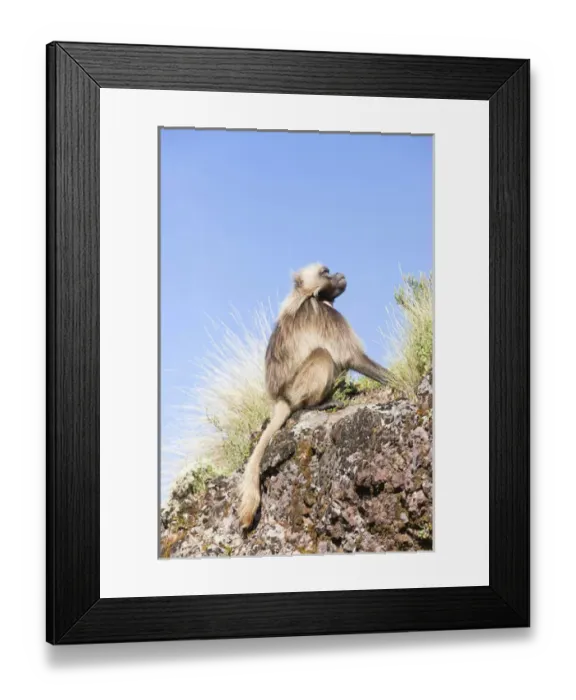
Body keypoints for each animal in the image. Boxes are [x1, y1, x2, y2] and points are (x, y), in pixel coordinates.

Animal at [238, 262, 393, 531]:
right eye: (326, 272)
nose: (340, 274)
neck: (308, 296)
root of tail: (280, 398)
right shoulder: (324, 313)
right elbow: (350, 356)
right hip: (296, 388)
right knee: (322, 355)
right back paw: (316, 405)